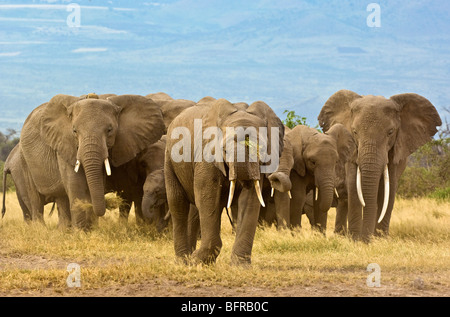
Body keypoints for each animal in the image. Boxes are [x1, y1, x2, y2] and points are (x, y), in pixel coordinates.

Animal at [18, 92, 165, 228]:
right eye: (74, 131)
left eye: (110, 130)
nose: (109, 204)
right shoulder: (65, 144)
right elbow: (77, 184)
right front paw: (82, 232)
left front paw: (90, 229)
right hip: (24, 161)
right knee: (36, 200)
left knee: (61, 198)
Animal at [165, 97, 284, 264]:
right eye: (225, 150)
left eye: (260, 149)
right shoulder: (206, 155)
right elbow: (208, 198)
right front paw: (197, 260)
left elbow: (249, 200)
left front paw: (240, 265)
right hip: (169, 158)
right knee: (178, 203)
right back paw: (183, 260)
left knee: (194, 210)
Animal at [318, 87, 442, 241]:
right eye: (354, 132)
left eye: (390, 132)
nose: (365, 240)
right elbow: (353, 186)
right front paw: (355, 240)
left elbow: (388, 190)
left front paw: (380, 239)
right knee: (344, 195)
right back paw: (342, 236)